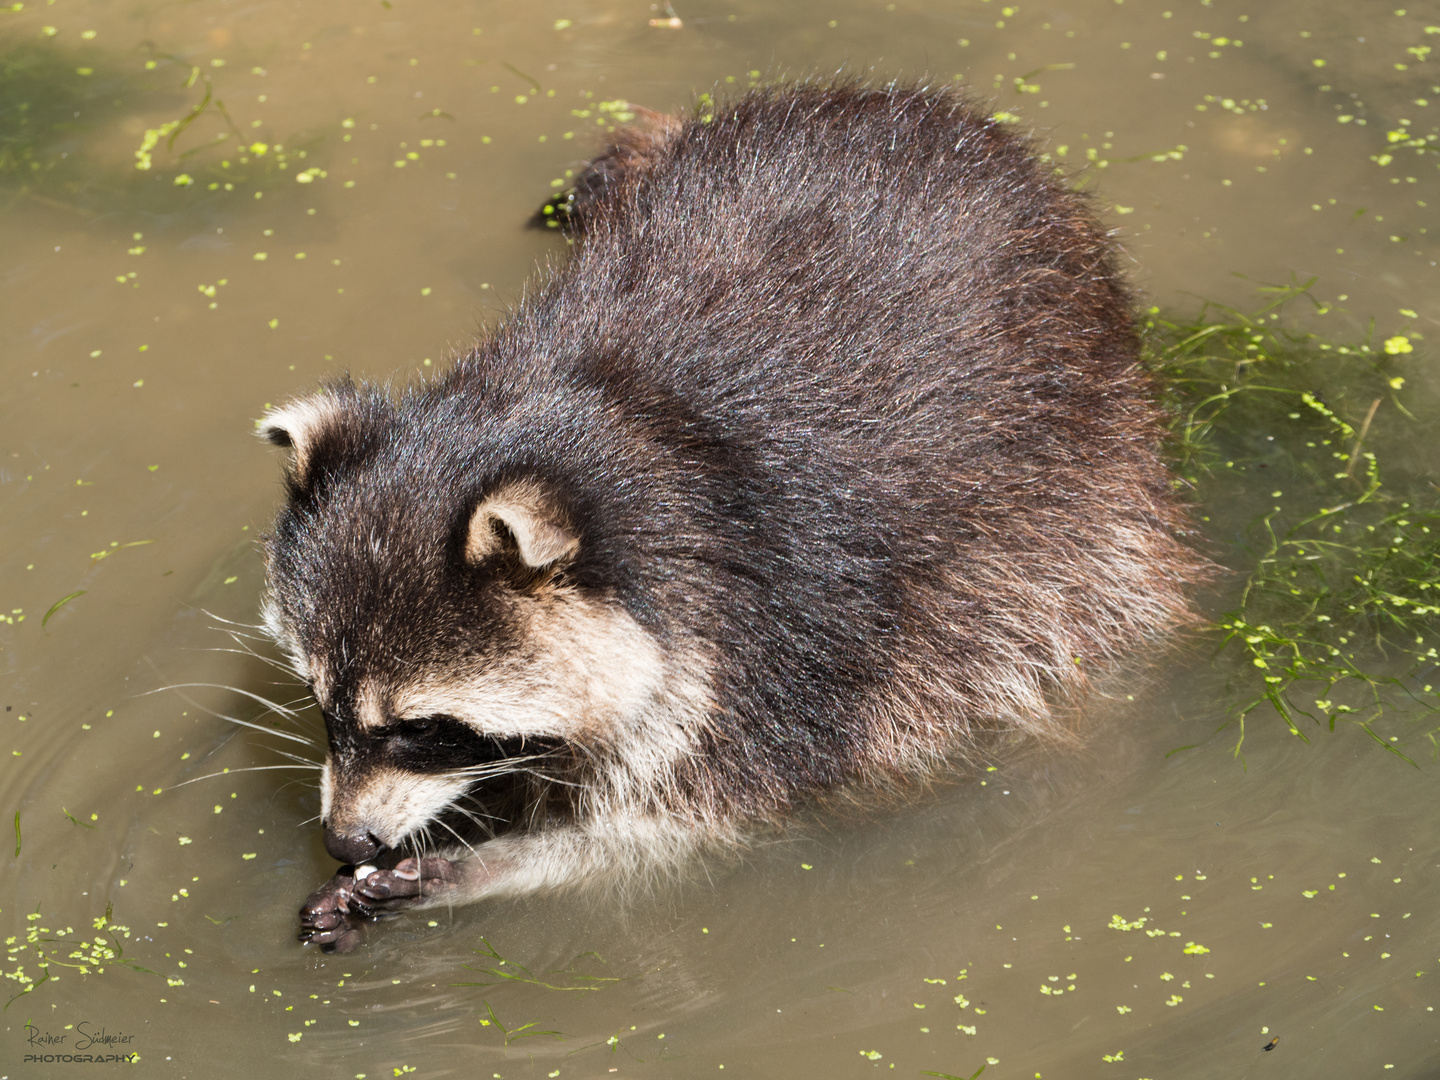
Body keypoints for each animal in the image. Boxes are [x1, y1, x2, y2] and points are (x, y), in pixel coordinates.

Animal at [259, 82, 1203, 956]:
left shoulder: (764, 642)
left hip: (1084, 480)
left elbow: (678, 831)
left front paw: (476, 865)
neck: (587, 423)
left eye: (423, 729)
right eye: (318, 700)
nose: (345, 839)